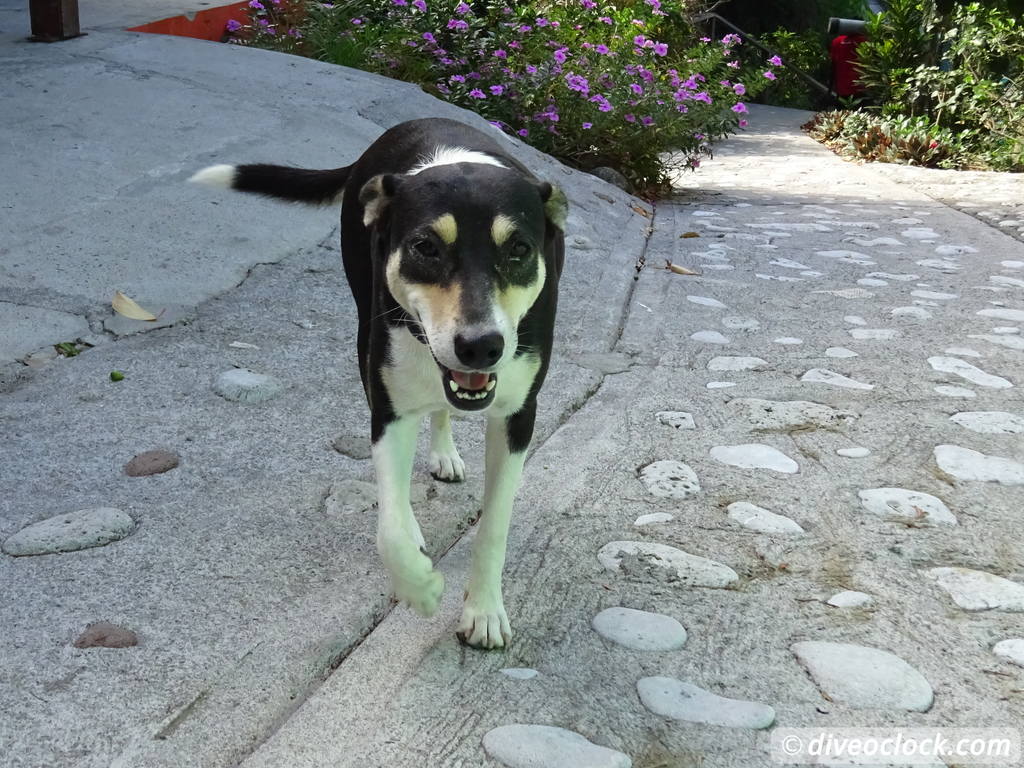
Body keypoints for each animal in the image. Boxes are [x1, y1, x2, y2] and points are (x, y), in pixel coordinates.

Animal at [192, 117, 569, 651]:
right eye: (426, 247)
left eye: (519, 249)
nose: (481, 346)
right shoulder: (390, 406)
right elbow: (390, 525)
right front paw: (421, 586)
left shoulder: (519, 415)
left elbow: (495, 525)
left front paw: (484, 611)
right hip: (364, 323)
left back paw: (445, 453)